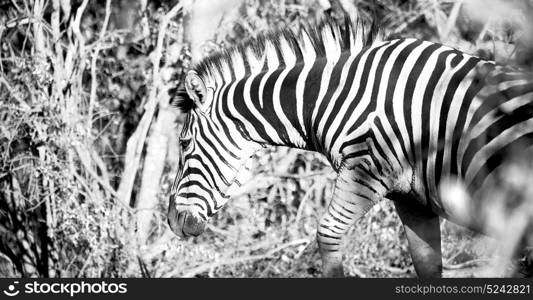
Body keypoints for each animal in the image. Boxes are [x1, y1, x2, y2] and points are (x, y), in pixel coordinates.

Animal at [168, 15, 532, 278]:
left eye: (184, 144)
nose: (172, 222)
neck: (334, 96)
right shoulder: (411, 200)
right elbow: (427, 265)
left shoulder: (364, 170)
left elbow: (327, 235)